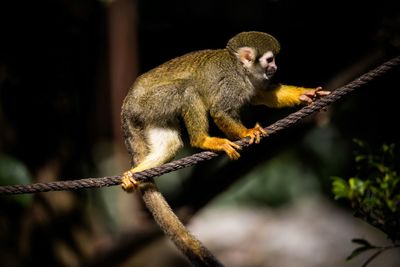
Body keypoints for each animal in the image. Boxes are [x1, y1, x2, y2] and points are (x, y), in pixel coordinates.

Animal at [118, 31, 328, 266]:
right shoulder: (232, 83)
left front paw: (305, 94)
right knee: (187, 90)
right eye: (270, 59)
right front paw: (247, 133)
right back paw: (202, 140)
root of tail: (127, 103)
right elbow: (220, 110)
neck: (240, 69)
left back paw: (137, 172)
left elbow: (262, 95)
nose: (275, 67)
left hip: (149, 113)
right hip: (149, 102)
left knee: (170, 142)